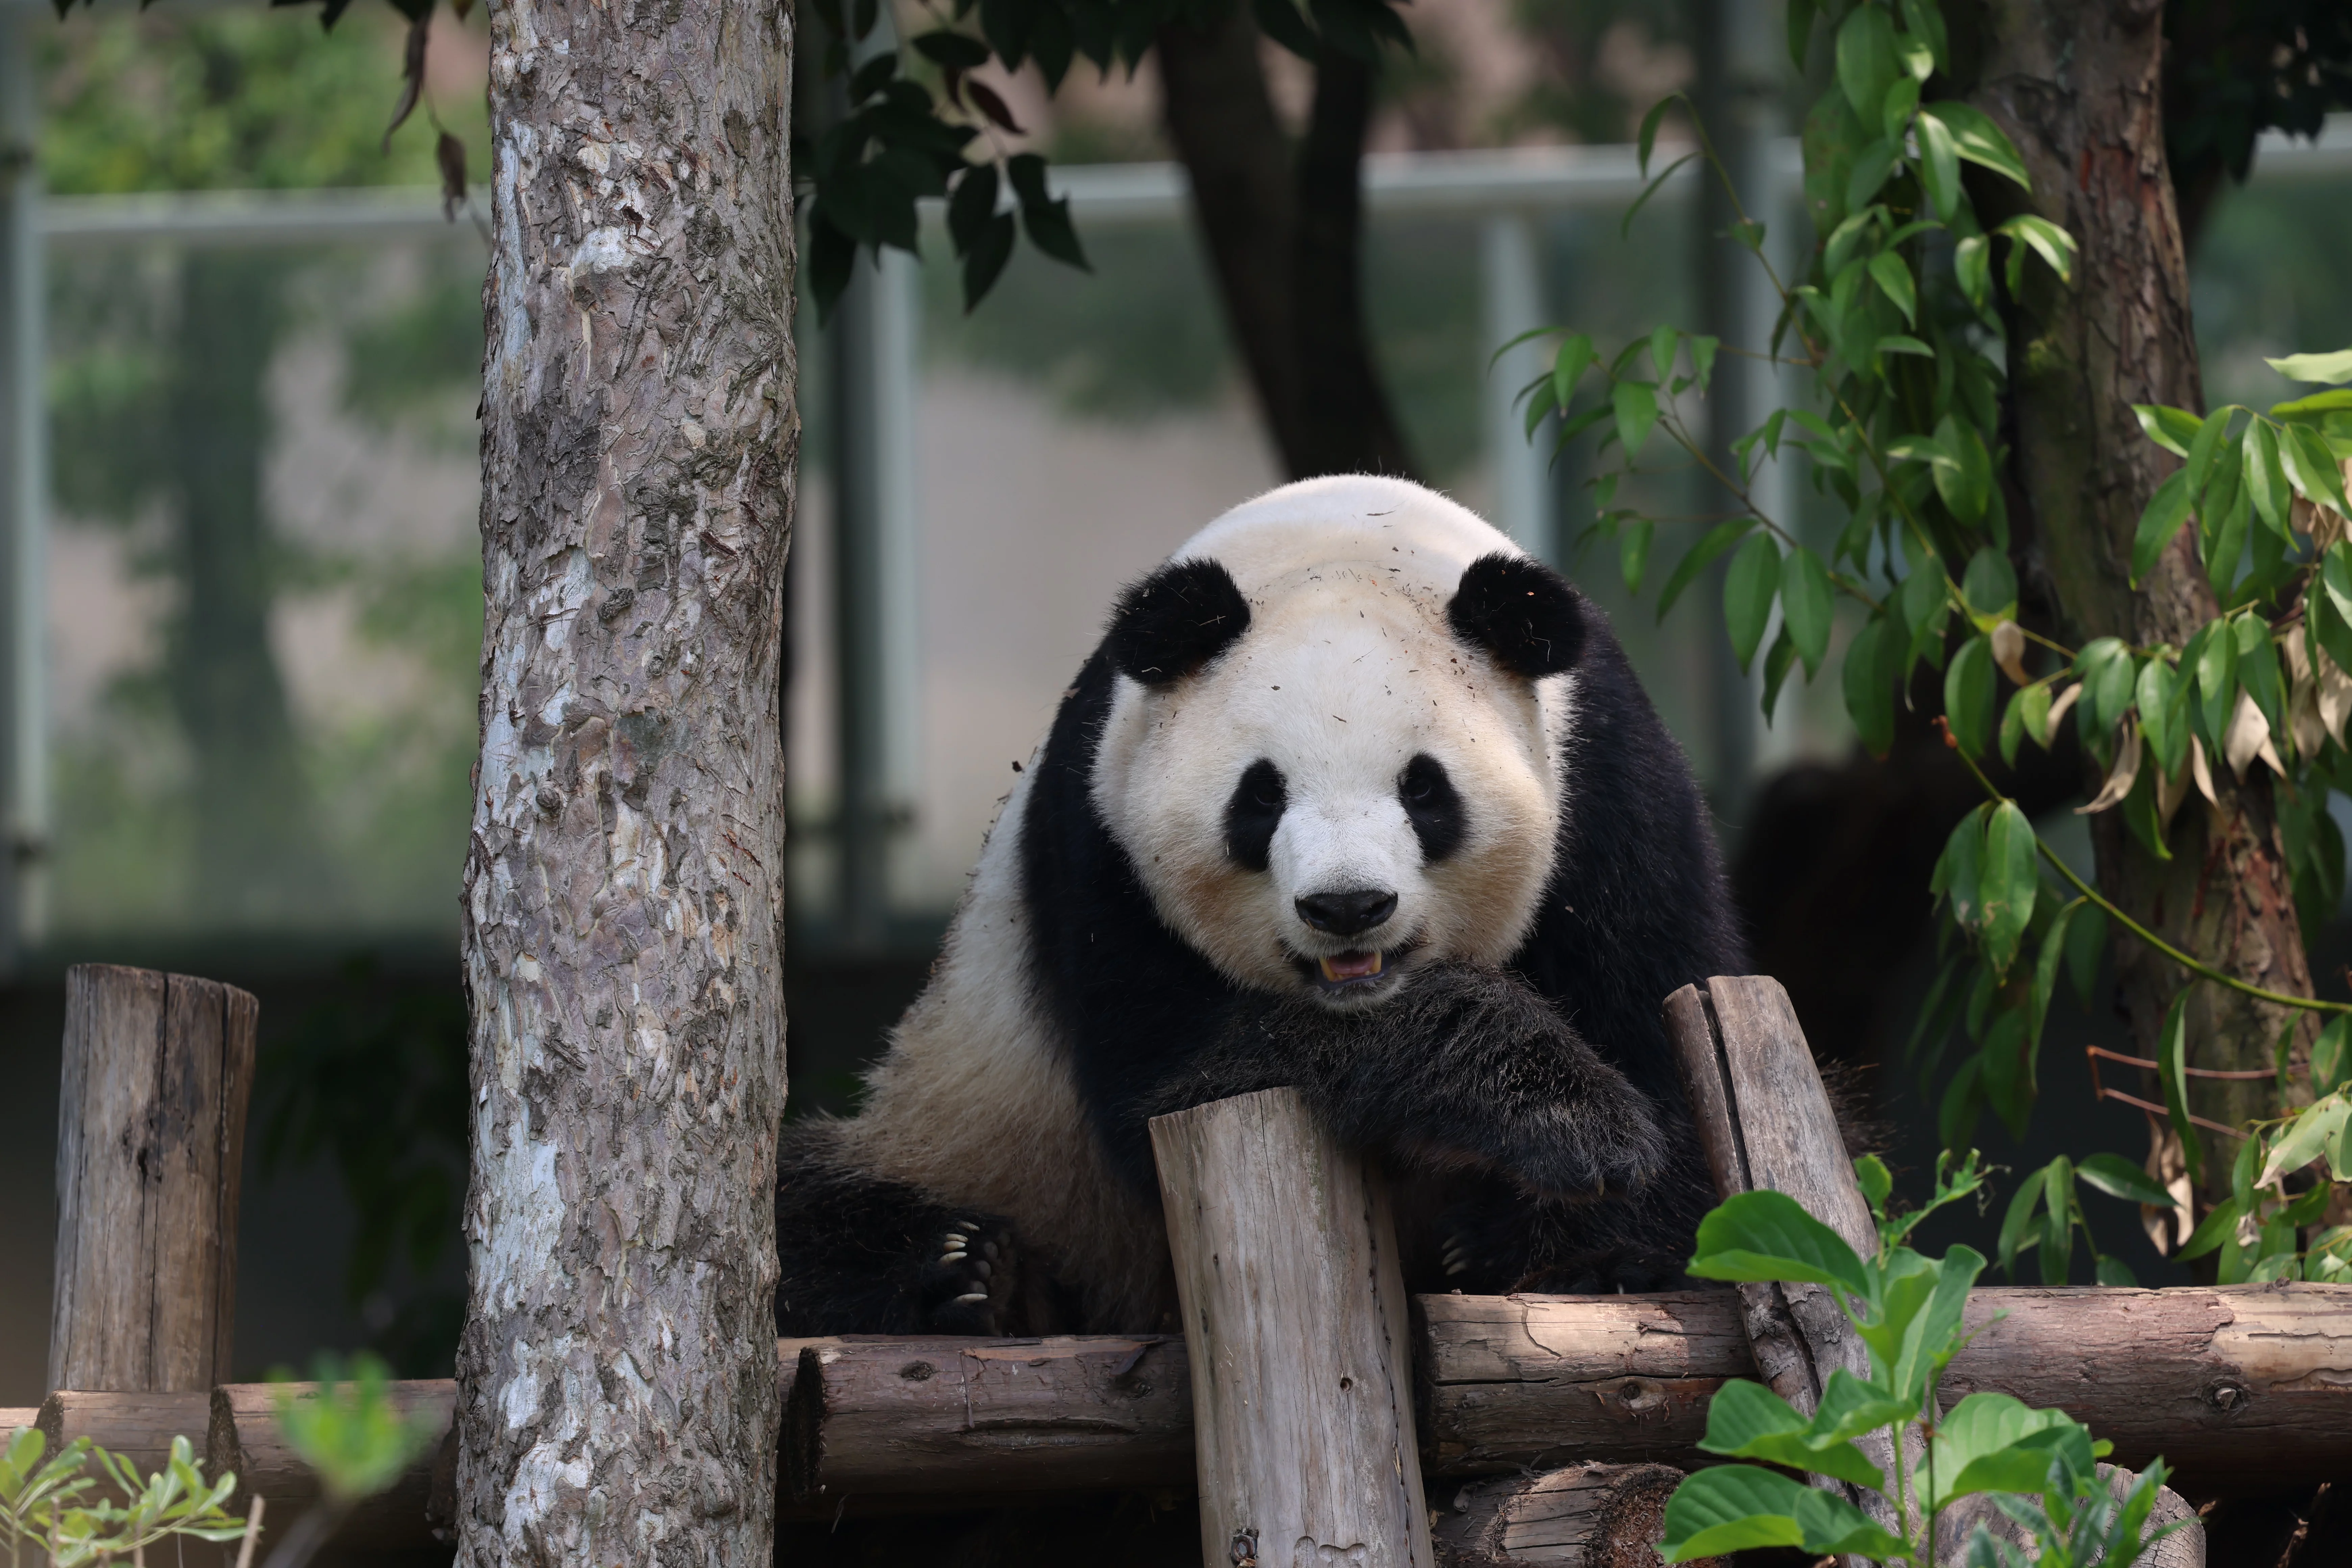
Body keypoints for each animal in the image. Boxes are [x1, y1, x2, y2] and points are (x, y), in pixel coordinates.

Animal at [774, 474, 1743, 1338]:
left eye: (1425, 789)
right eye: (1261, 796)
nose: (1348, 905)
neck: (1344, 535)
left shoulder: (1608, 778)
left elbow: (1657, 1005)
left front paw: (1573, 1236)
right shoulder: (1097, 845)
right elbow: (1179, 1082)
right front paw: (1546, 1112)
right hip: (964, 1135)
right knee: (808, 1207)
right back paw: (970, 1276)